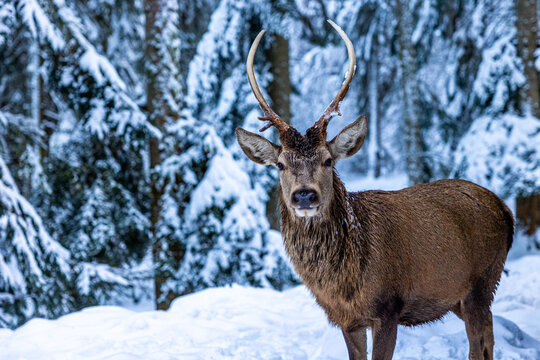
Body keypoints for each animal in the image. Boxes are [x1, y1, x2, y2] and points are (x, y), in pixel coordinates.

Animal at [236, 20, 516, 360]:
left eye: (328, 160)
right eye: (280, 164)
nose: (304, 194)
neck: (343, 285)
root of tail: (505, 209)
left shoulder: (388, 307)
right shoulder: (347, 319)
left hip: (483, 279)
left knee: (478, 344)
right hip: (461, 298)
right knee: (489, 337)